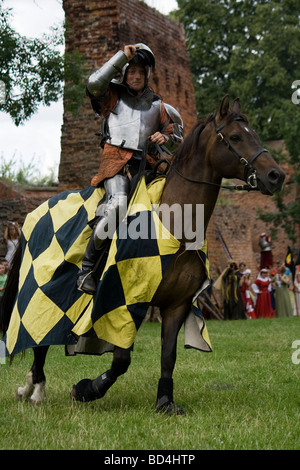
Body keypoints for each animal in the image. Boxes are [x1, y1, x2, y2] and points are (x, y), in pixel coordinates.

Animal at [0, 96, 286, 414]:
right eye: (235, 137)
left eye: (254, 134)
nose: (277, 176)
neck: (173, 225)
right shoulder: (124, 300)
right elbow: (121, 360)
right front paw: (86, 389)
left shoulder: (177, 306)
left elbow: (168, 357)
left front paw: (165, 402)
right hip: (40, 294)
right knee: (38, 338)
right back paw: (36, 388)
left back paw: (30, 386)